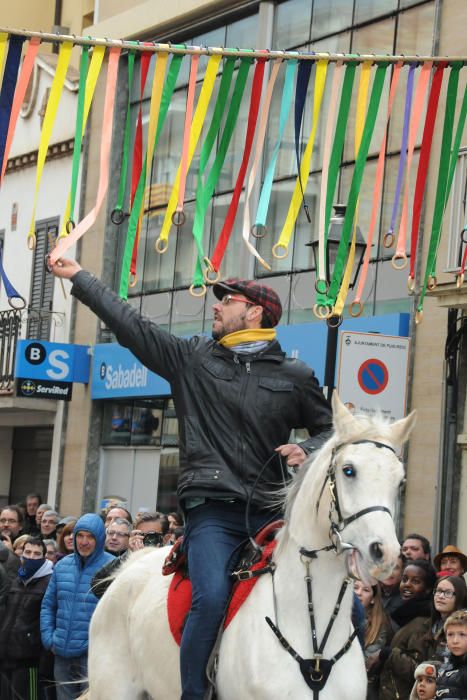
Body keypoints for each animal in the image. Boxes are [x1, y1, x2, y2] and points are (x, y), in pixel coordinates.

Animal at [86, 394, 414, 700]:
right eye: (348, 470)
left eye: (400, 481)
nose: (384, 553)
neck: (312, 638)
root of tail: (128, 565)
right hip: (114, 689)